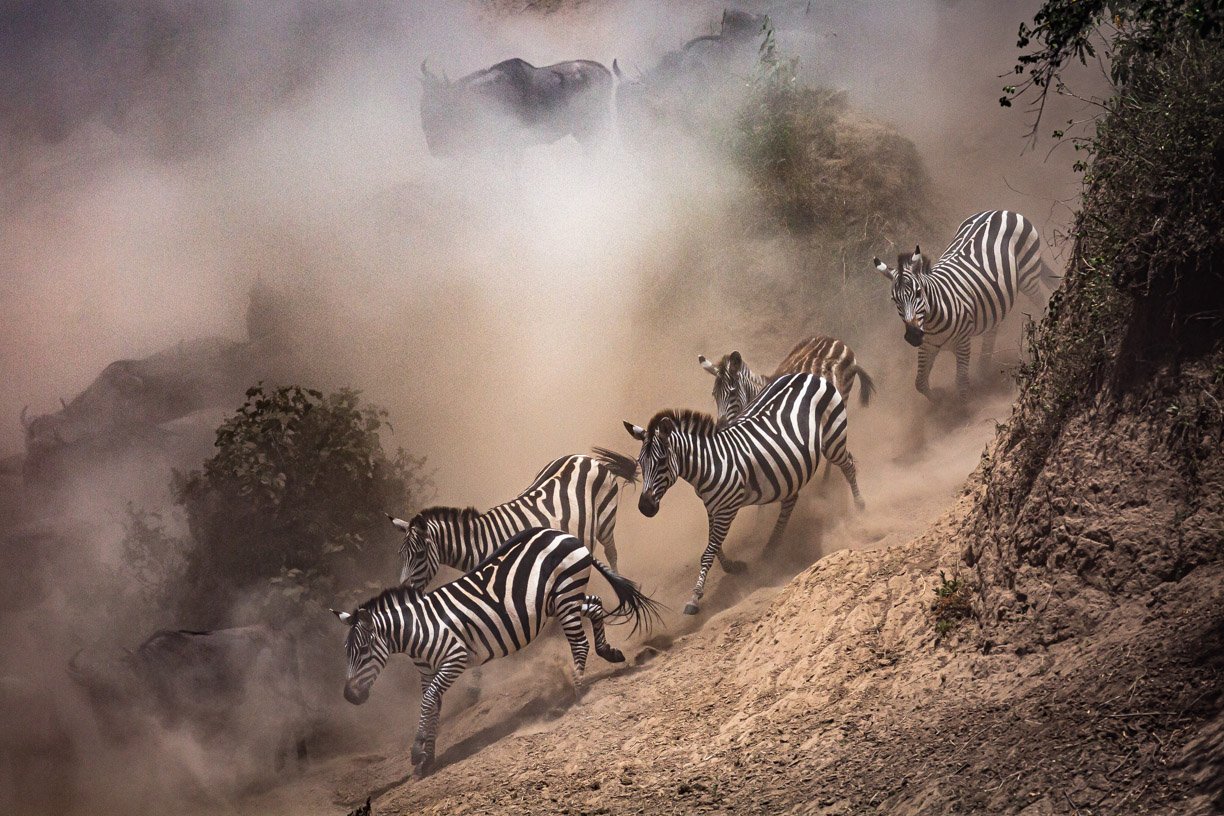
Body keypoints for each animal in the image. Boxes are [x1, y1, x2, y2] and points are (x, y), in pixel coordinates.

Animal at [331, 527, 660, 775]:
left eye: (363, 650)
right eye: (347, 652)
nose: (349, 696)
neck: (419, 629)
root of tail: (561, 532)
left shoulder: (454, 659)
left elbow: (427, 702)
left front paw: (416, 752)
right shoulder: (427, 673)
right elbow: (432, 706)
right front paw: (428, 756)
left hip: (566, 595)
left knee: (580, 641)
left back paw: (579, 689)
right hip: (561, 598)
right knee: (594, 605)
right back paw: (609, 652)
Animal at [390, 448, 637, 589]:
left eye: (420, 555)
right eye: (401, 555)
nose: (404, 591)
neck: (484, 543)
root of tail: (587, 458)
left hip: (606, 522)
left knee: (612, 553)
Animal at [624, 372, 859, 616]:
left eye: (661, 461)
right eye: (640, 462)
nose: (645, 507)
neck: (709, 463)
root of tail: (808, 375)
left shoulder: (726, 509)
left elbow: (709, 551)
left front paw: (694, 597)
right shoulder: (711, 506)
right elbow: (714, 546)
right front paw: (733, 567)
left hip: (834, 438)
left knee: (849, 466)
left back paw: (860, 509)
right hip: (790, 470)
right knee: (791, 499)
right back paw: (772, 546)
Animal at [873, 210, 1056, 401]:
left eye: (918, 293)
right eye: (894, 300)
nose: (912, 336)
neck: (933, 321)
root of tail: (1002, 211)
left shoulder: (962, 342)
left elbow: (961, 382)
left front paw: (963, 407)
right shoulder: (927, 346)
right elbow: (920, 383)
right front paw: (938, 399)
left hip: (1029, 275)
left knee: (1040, 300)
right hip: (993, 299)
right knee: (992, 330)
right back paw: (982, 371)